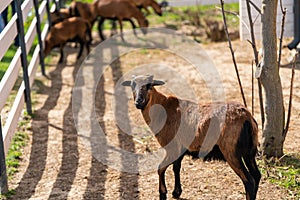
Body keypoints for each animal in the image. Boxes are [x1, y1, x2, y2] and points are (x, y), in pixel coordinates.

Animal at [123, 75, 262, 200]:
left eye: (149, 85)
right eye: (132, 85)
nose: (138, 102)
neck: (162, 110)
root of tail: (247, 117)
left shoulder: (172, 148)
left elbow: (160, 168)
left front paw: (163, 194)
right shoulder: (180, 148)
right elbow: (176, 168)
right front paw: (176, 192)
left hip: (231, 152)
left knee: (249, 181)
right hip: (249, 152)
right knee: (257, 175)